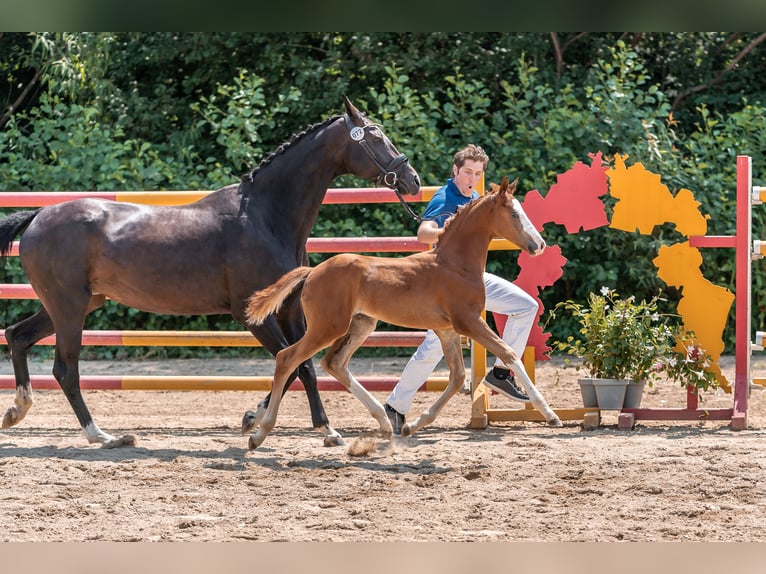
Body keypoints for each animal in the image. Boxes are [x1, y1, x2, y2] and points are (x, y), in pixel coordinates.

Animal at [0, 97, 420, 450]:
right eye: (376, 136)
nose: (412, 179)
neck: (265, 217)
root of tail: (38, 216)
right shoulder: (252, 315)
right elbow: (297, 364)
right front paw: (321, 429)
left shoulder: (289, 309)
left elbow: (298, 366)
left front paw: (257, 418)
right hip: (69, 307)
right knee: (65, 369)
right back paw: (103, 436)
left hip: (73, 304)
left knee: (18, 336)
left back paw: (17, 410)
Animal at [246, 178, 564, 452]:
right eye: (514, 213)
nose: (539, 245)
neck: (454, 265)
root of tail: (312, 272)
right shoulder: (470, 322)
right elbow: (508, 353)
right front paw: (550, 414)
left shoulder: (448, 331)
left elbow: (458, 377)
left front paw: (413, 425)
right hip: (327, 327)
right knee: (287, 358)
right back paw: (260, 434)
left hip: (361, 324)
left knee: (334, 363)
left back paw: (385, 422)